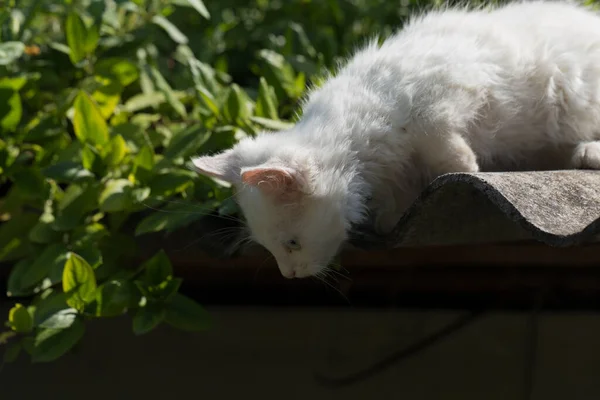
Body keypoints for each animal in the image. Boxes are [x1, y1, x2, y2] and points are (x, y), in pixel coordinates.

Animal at [191, 0, 600, 278]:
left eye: (292, 244)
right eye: (271, 248)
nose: (289, 275)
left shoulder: (450, 89)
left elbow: (441, 140)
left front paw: (465, 166)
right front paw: (393, 212)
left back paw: (586, 152)